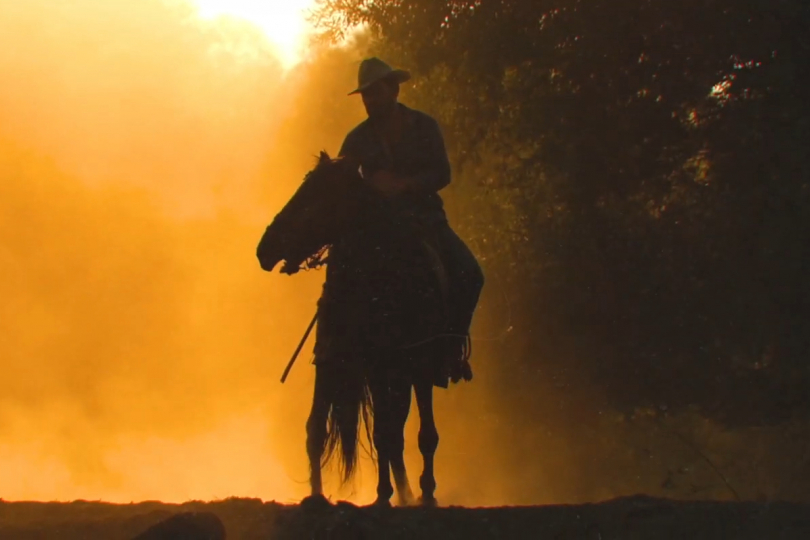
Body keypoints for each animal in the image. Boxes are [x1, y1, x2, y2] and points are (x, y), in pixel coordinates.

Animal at [258, 151, 474, 506]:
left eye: (315, 198)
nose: (264, 249)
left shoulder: (416, 364)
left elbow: (423, 434)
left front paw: (424, 493)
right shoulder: (357, 365)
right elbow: (348, 431)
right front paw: (374, 494)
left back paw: (410, 493)